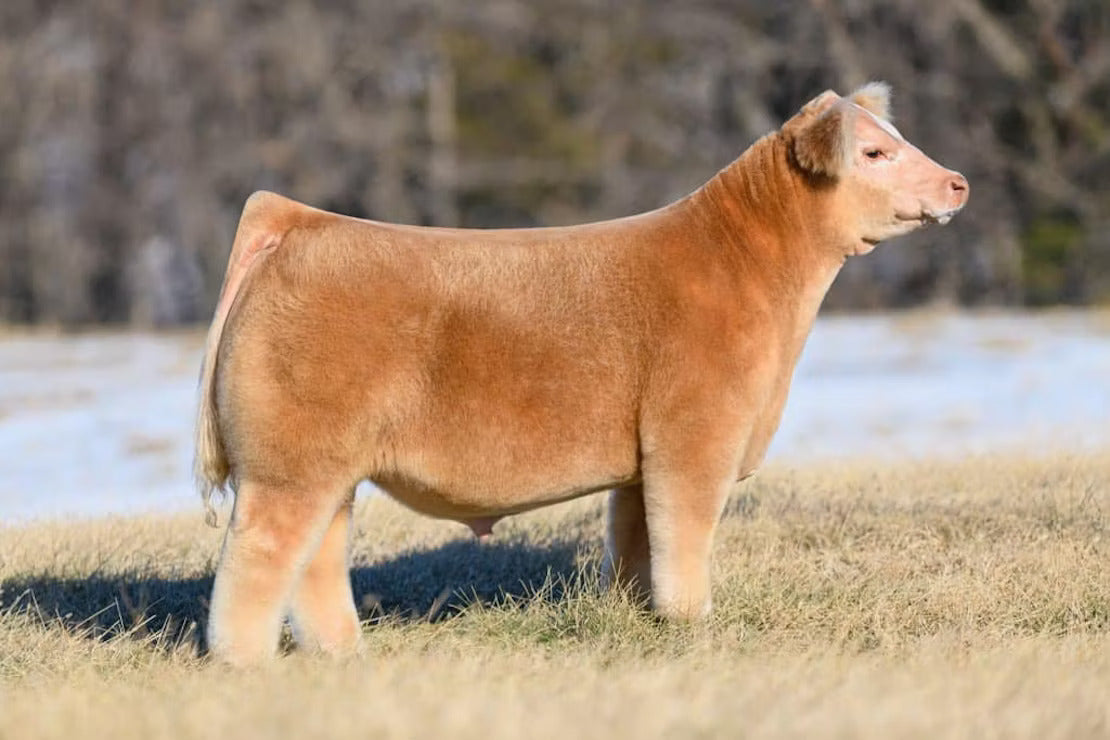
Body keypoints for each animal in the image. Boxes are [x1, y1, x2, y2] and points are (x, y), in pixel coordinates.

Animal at [195, 82, 968, 664]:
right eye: (874, 151)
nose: (957, 181)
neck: (745, 266)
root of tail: (301, 222)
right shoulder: (696, 439)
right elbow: (684, 538)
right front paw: (694, 625)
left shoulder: (642, 460)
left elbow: (636, 543)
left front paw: (640, 619)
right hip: (288, 469)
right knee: (260, 559)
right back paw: (247, 665)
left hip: (326, 470)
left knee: (317, 560)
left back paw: (343, 655)